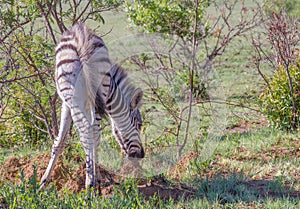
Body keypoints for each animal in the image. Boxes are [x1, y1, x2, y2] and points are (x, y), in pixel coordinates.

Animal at [40, 23, 145, 190]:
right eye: (140, 124)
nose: (141, 155)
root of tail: (81, 42)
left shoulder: (68, 103)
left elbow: (67, 139)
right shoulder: (77, 103)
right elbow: (64, 140)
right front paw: (44, 180)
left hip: (75, 93)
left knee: (86, 130)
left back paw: (89, 181)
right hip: (93, 92)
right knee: (90, 131)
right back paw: (90, 180)